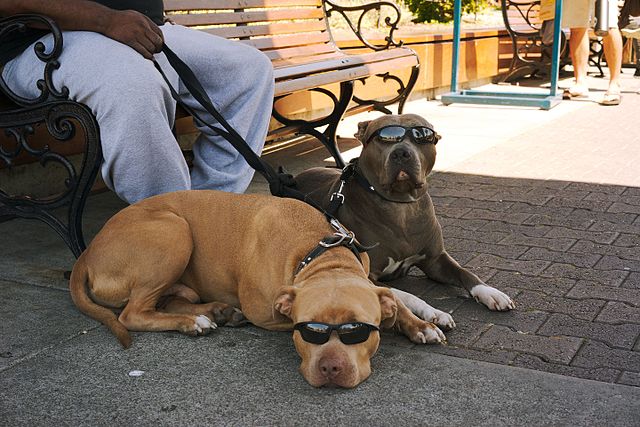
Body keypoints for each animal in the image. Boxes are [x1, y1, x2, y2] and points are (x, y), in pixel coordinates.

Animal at [69, 191, 444, 388]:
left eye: (357, 330)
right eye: (307, 331)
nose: (331, 369)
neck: (320, 253)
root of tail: (88, 251)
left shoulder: (366, 276)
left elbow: (395, 296)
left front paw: (424, 320)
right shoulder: (269, 313)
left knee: (168, 300)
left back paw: (214, 311)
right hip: (173, 231)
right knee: (133, 313)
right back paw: (194, 321)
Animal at [296, 113, 516, 332]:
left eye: (423, 135)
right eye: (382, 138)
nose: (401, 152)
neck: (401, 207)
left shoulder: (435, 260)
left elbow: (464, 272)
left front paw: (490, 292)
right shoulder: (368, 275)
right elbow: (403, 295)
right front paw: (432, 313)